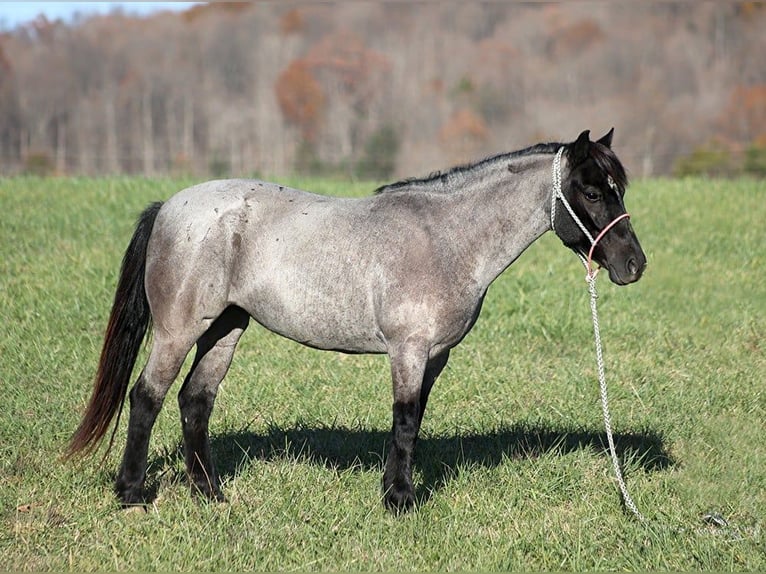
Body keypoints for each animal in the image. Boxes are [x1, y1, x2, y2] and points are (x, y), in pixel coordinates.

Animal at [66, 129, 648, 512]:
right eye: (591, 191)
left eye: (619, 188)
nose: (633, 265)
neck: (445, 237)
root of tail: (170, 206)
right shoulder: (408, 350)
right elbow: (406, 420)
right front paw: (400, 501)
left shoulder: (434, 358)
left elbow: (410, 422)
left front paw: (394, 491)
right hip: (179, 330)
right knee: (147, 397)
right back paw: (132, 495)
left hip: (226, 327)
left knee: (195, 401)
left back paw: (210, 495)